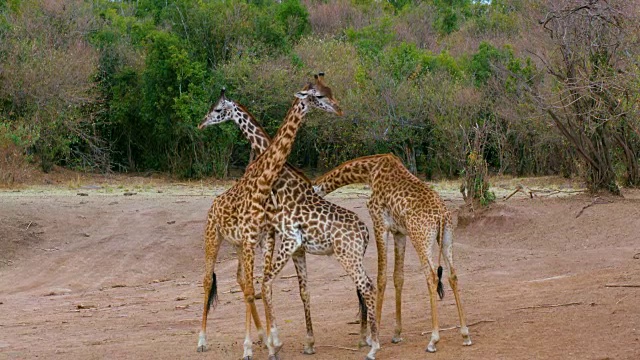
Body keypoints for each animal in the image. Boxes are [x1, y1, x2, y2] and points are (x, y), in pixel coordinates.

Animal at [199, 88, 380, 358]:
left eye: (218, 109)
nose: (201, 123)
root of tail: (365, 231)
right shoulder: (282, 241)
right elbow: (292, 289)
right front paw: (295, 341)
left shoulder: (276, 238)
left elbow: (267, 285)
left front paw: (274, 341)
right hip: (220, 238)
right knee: (217, 280)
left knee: (365, 285)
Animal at [312, 153, 472, 352]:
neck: (369, 171)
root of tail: (441, 216)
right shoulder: (399, 232)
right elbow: (398, 277)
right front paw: (397, 334)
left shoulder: (380, 223)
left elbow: (381, 278)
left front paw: (373, 336)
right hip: (446, 238)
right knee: (452, 275)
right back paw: (465, 334)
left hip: (421, 239)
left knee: (432, 276)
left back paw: (433, 339)